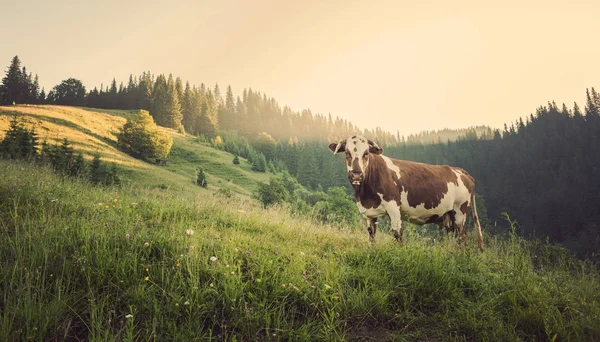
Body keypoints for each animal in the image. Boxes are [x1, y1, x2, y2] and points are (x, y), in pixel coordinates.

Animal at [328, 136, 482, 251]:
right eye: (347, 153)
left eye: (366, 153)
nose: (357, 174)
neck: (365, 194)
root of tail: (461, 171)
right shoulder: (368, 213)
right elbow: (371, 236)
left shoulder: (394, 208)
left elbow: (397, 234)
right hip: (448, 216)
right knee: (456, 238)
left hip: (459, 212)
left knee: (462, 237)